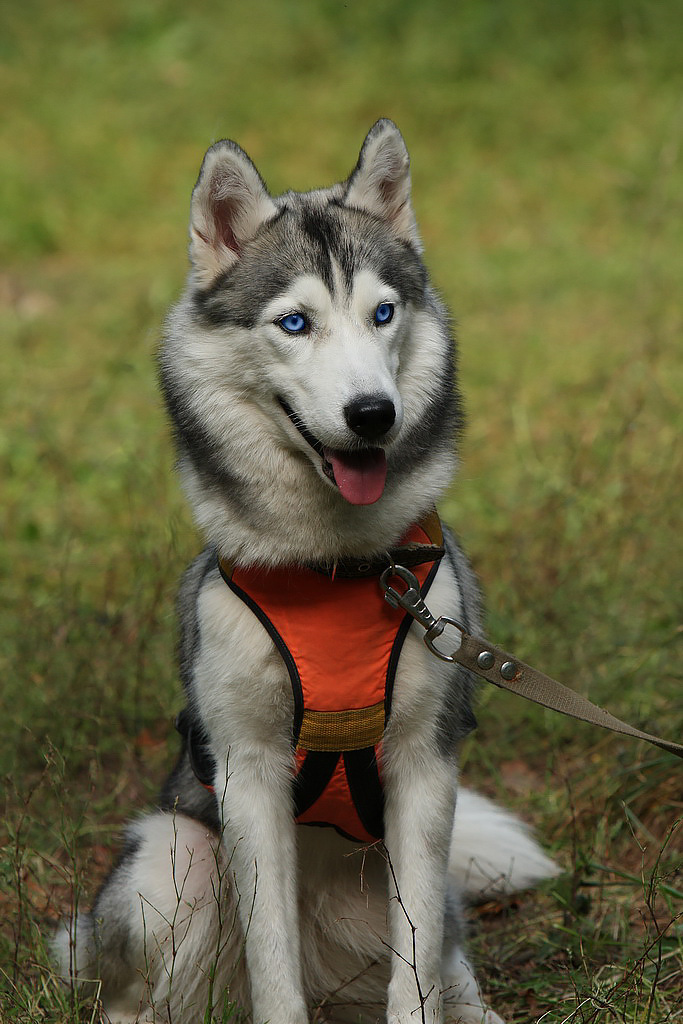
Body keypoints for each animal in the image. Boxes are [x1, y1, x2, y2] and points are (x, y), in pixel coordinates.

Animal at [56, 121, 557, 1024]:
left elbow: (415, 972)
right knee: (142, 994)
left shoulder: (424, 769)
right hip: (168, 860)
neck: (337, 566)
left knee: (443, 959)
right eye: (294, 323)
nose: (373, 415)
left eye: (382, 313)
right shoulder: (247, 773)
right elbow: (271, 958)